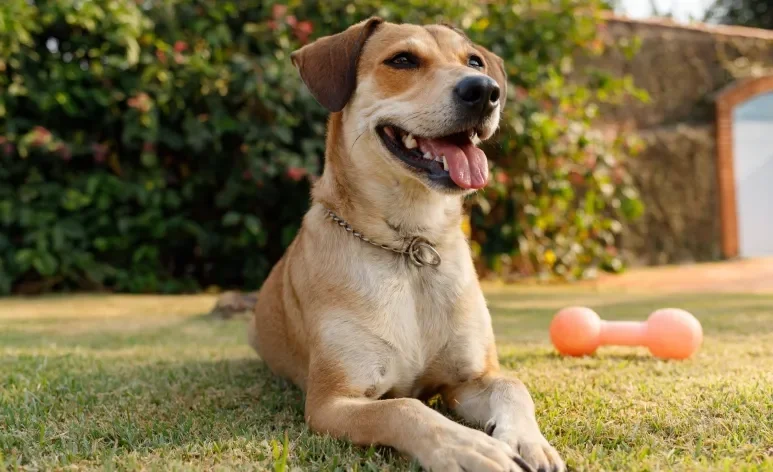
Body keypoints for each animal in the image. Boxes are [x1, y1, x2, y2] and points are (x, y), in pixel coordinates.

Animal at [250, 17, 564, 472]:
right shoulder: (331, 402)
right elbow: (403, 407)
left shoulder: (469, 380)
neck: (410, 245)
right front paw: (467, 447)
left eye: (474, 61)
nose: (485, 90)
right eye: (402, 60)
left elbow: (512, 384)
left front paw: (529, 440)